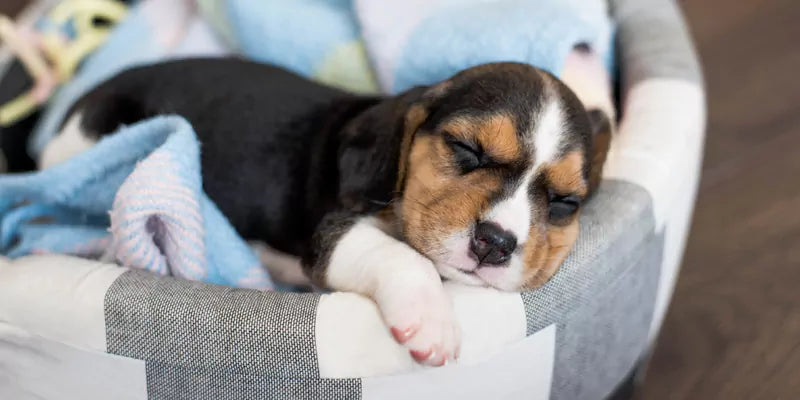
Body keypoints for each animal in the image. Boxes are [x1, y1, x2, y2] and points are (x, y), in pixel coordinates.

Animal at [42, 57, 612, 368]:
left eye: (565, 202)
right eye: (466, 149)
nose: (494, 243)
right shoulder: (333, 233)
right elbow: (405, 258)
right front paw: (431, 321)